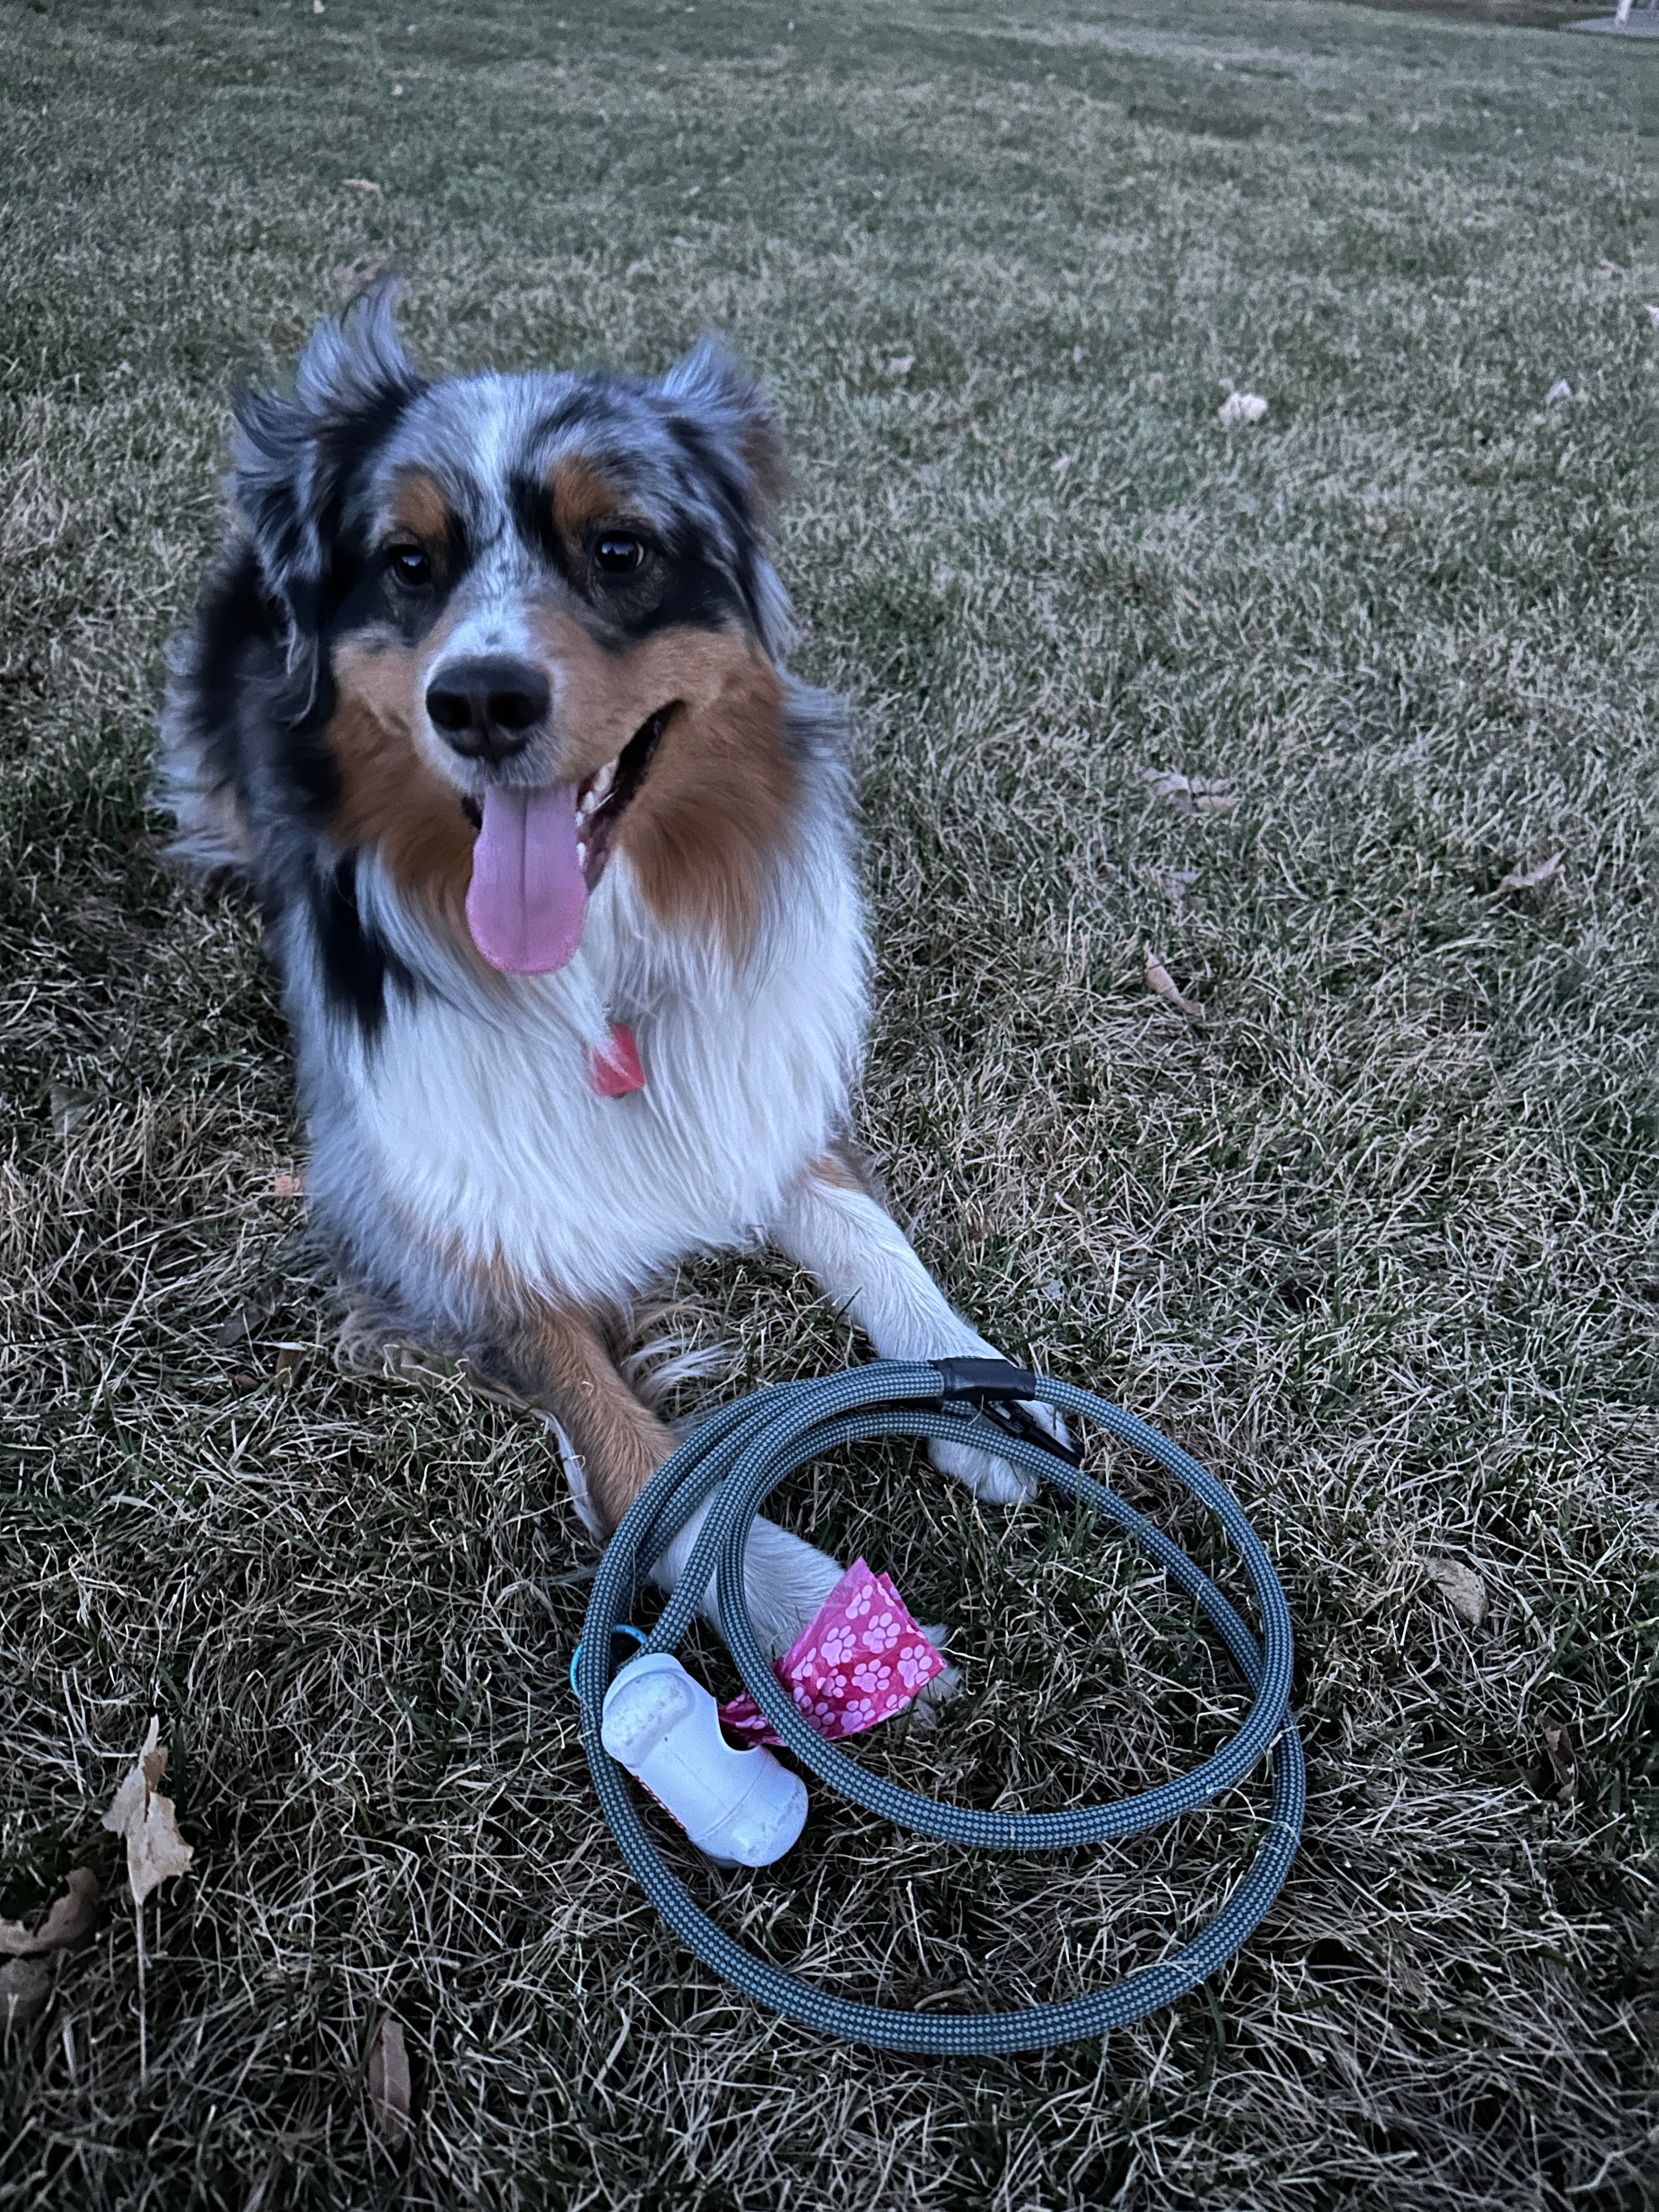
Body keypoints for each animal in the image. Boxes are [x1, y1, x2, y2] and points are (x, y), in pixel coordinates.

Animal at [162, 285, 1057, 1654]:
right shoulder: (430, 1216)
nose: (481, 702)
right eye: (408, 563)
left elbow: (871, 1233)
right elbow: (634, 1451)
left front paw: (985, 1393)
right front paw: (794, 1604)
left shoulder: (752, 1083)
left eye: (621, 551)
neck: (597, 955)